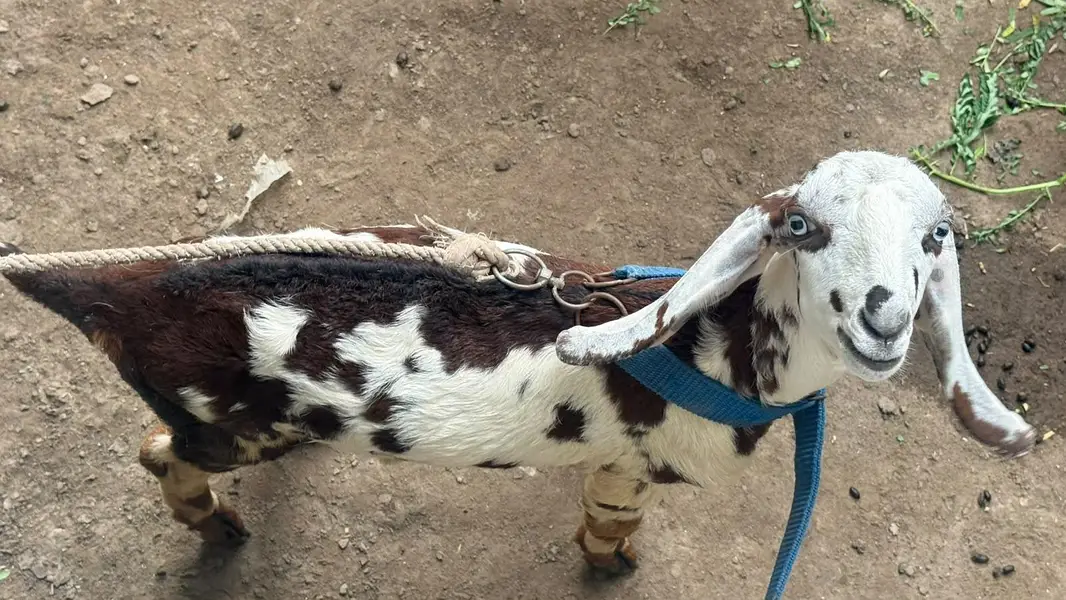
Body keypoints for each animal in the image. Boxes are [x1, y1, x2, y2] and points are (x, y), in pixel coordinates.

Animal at [0, 150, 1035, 579]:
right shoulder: (627, 465)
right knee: (160, 452)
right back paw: (215, 529)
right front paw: (613, 568)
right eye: (803, 227)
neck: (717, 350)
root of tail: (107, 287)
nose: (884, 317)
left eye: (937, 236)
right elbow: (612, 527)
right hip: (227, 423)